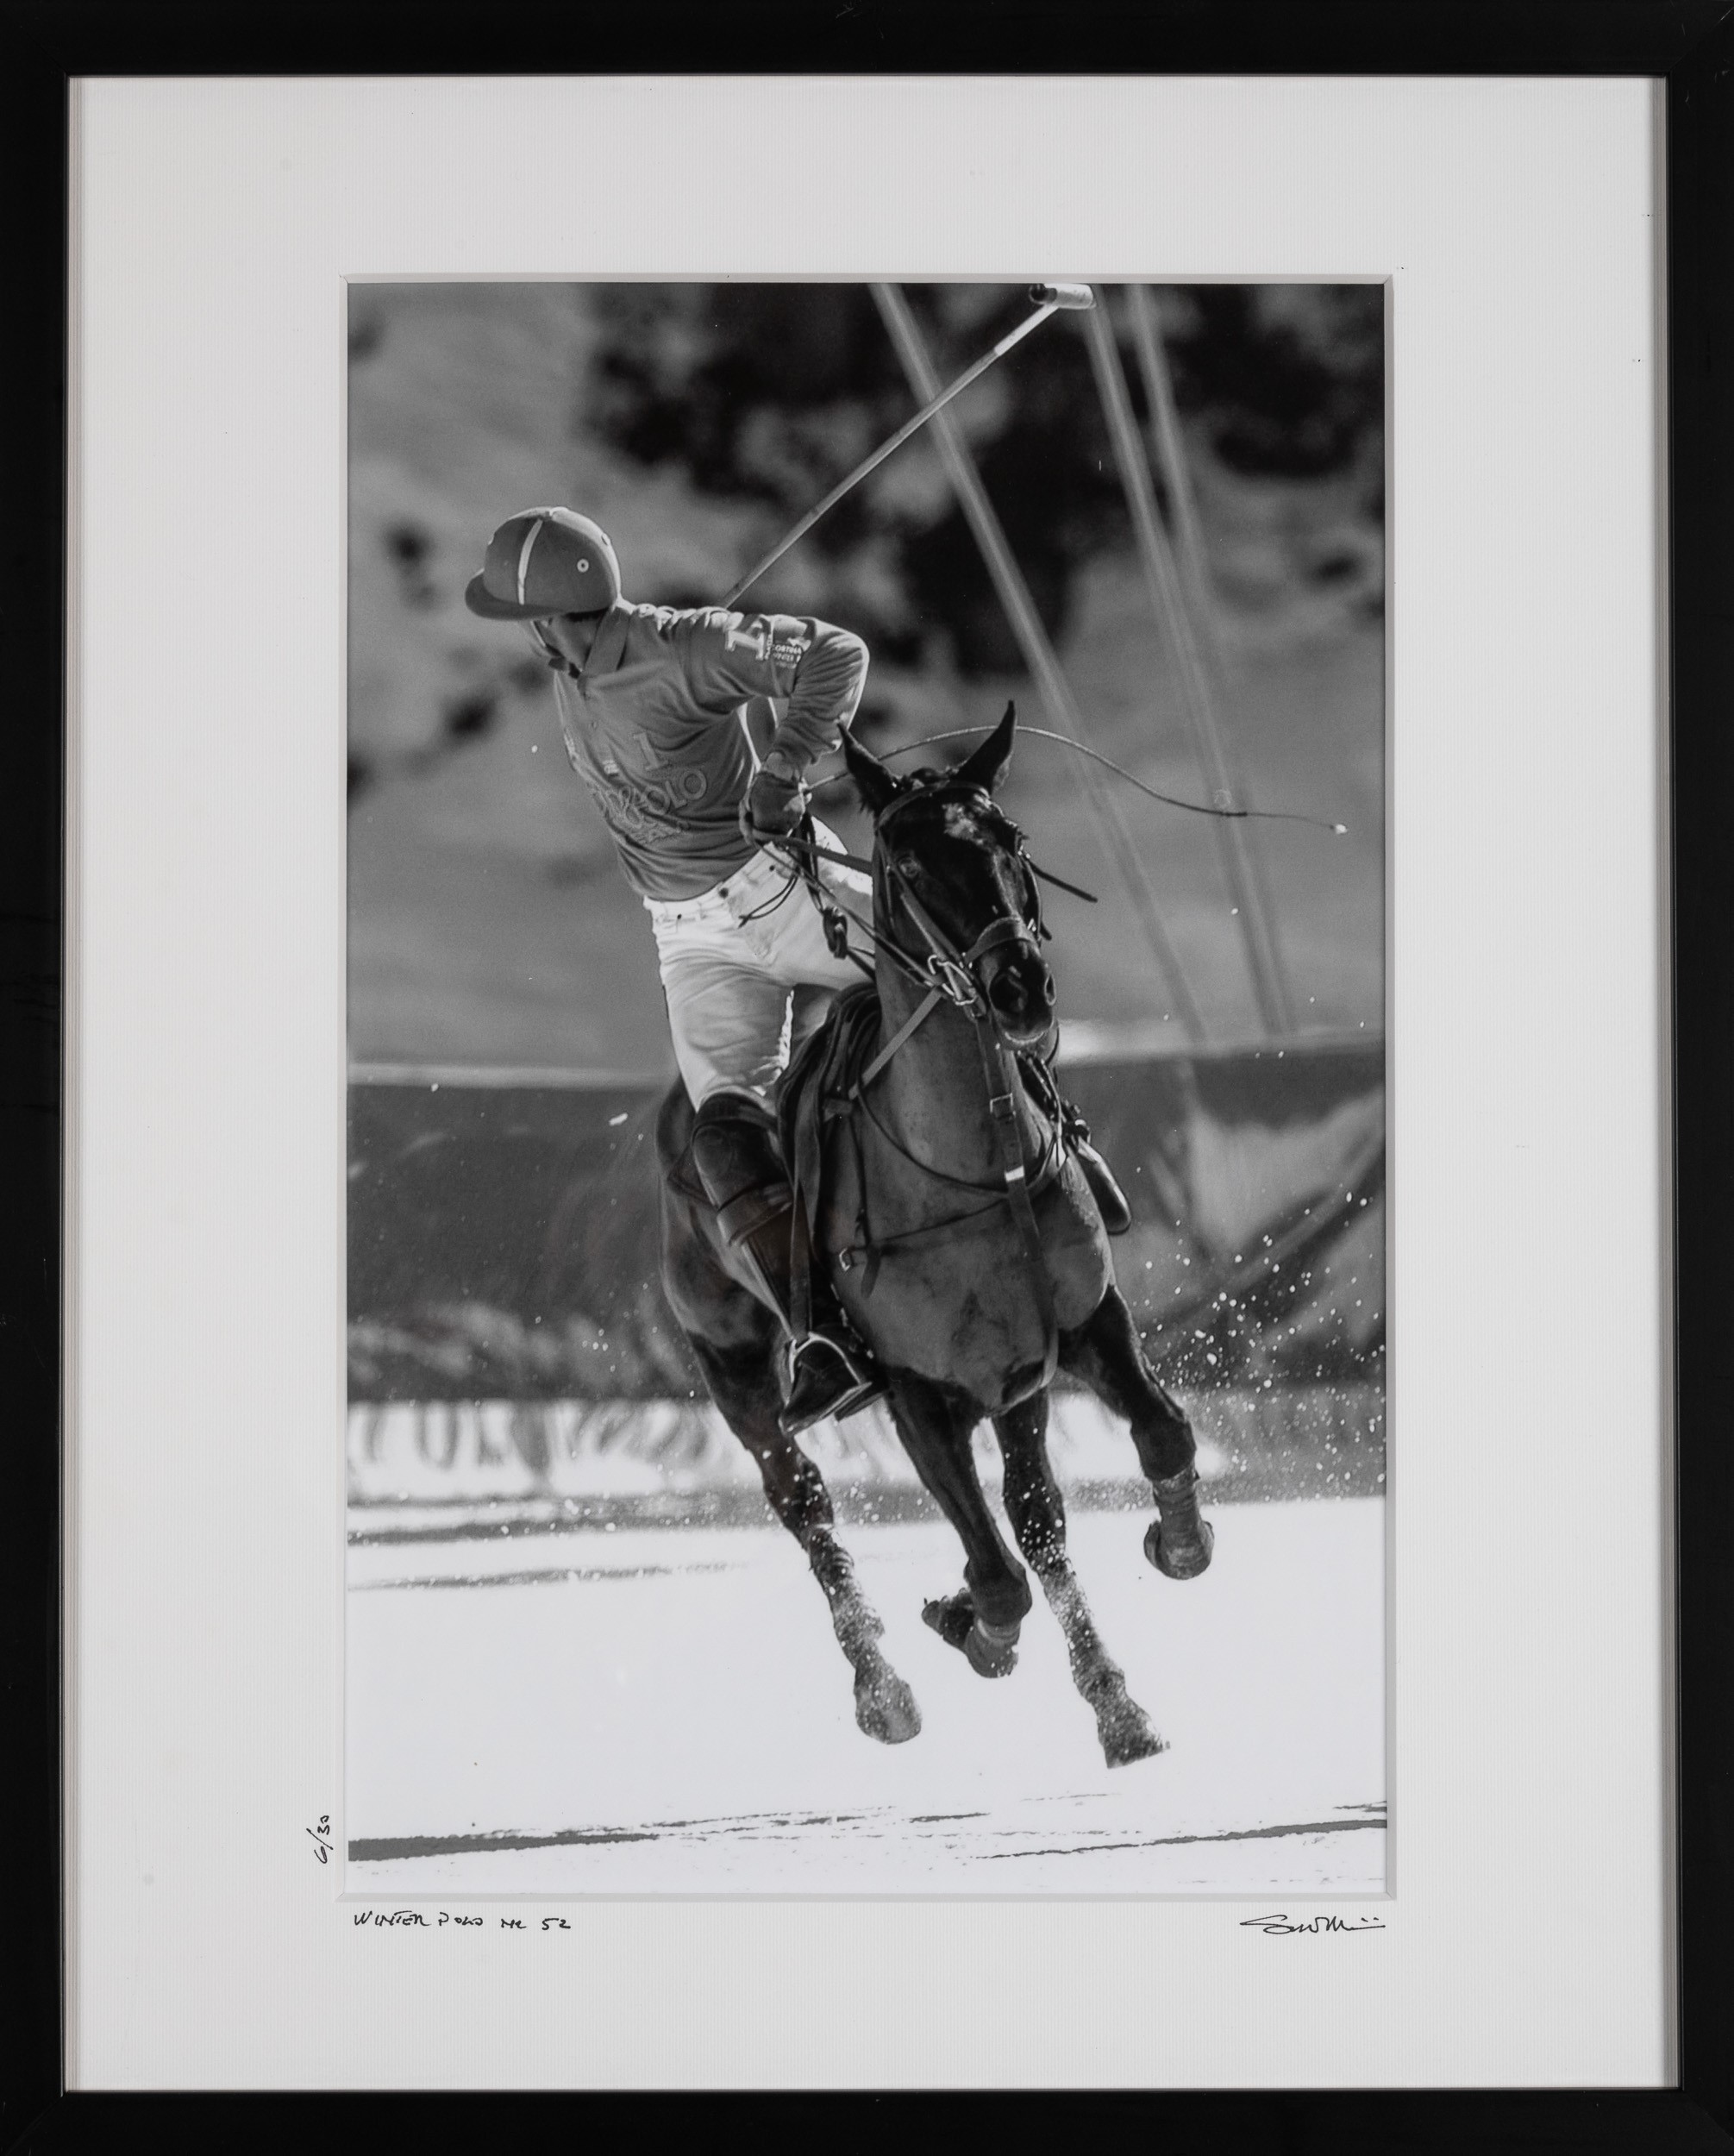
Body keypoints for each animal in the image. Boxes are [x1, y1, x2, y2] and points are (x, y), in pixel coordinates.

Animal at [655, 702, 1214, 1765]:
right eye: (908, 864)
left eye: (1011, 840)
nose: (1020, 990)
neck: (970, 1162)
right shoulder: (916, 1391)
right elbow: (994, 1574)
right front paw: (969, 1625)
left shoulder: (1079, 1324)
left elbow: (1156, 1435)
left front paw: (1177, 1541)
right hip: (735, 1370)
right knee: (807, 1505)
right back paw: (883, 1692)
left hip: (1013, 1379)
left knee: (1036, 1517)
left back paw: (1113, 1705)